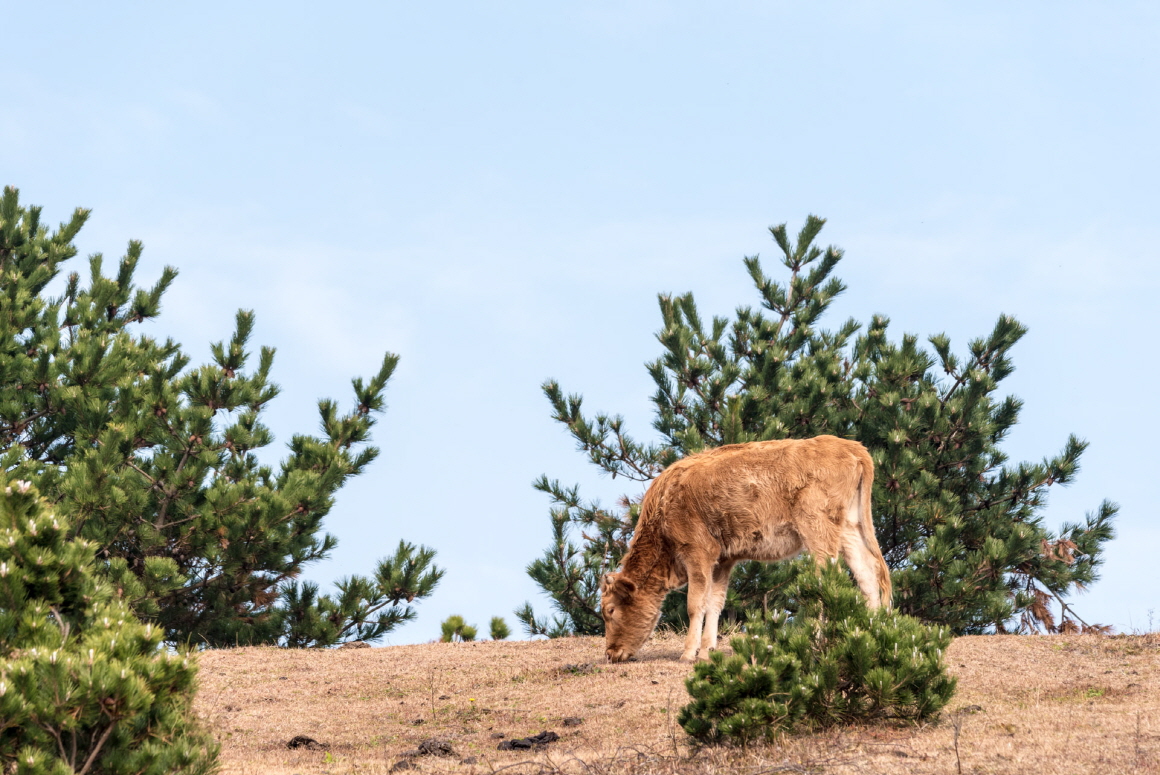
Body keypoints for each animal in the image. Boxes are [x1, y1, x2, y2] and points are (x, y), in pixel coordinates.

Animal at [603, 433, 890, 663]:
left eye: (610, 610)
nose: (611, 653)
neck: (666, 501)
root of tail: (851, 447)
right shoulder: (722, 561)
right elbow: (714, 603)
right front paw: (707, 651)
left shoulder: (697, 554)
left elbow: (695, 604)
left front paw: (687, 654)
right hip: (849, 528)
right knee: (867, 573)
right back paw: (874, 632)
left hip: (818, 531)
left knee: (827, 582)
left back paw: (817, 642)